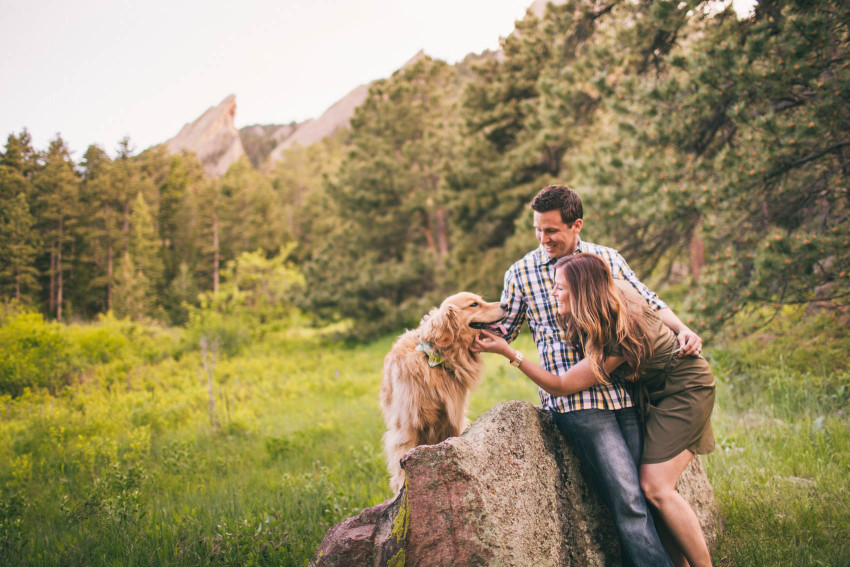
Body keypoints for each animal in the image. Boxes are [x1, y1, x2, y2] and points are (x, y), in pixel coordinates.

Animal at [380, 292, 504, 492]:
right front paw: (402, 488)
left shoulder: (453, 418)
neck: (433, 356)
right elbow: (401, 464)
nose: (506, 305)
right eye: (474, 304)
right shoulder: (407, 426)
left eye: (480, 300)